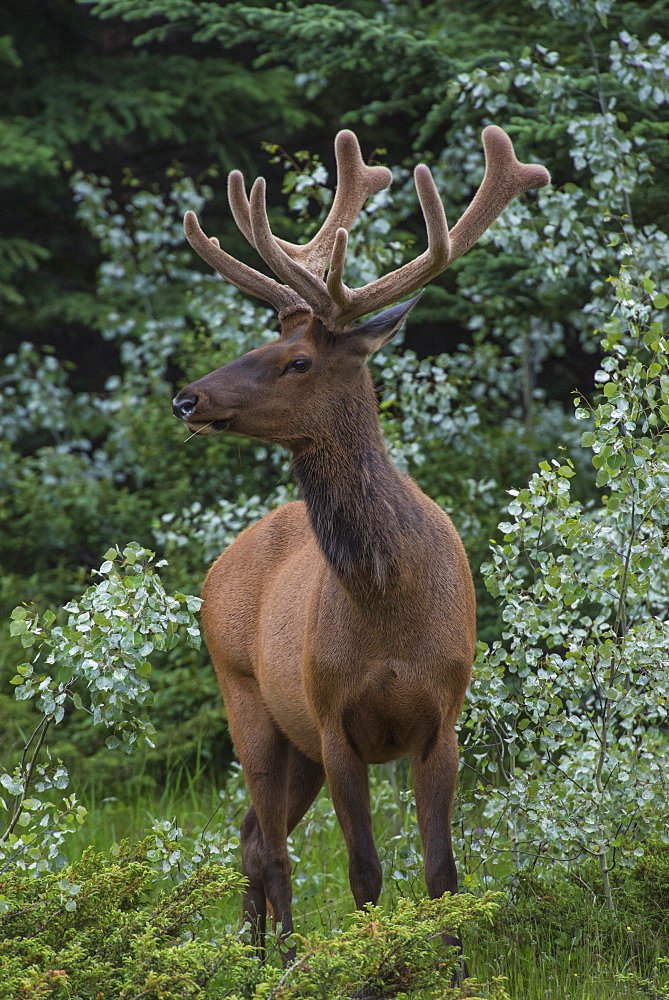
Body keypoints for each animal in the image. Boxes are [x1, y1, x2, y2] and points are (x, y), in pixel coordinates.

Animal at [172, 125, 548, 960]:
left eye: (296, 360)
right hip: (249, 700)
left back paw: (256, 957)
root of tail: (219, 568)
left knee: (251, 836)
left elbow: (441, 871)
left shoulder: (441, 717)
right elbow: (364, 871)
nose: (187, 397)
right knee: (271, 847)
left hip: (293, 741)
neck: (387, 601)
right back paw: (275, 962)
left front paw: (452, 969)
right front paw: (374, 965)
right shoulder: (333, 717)